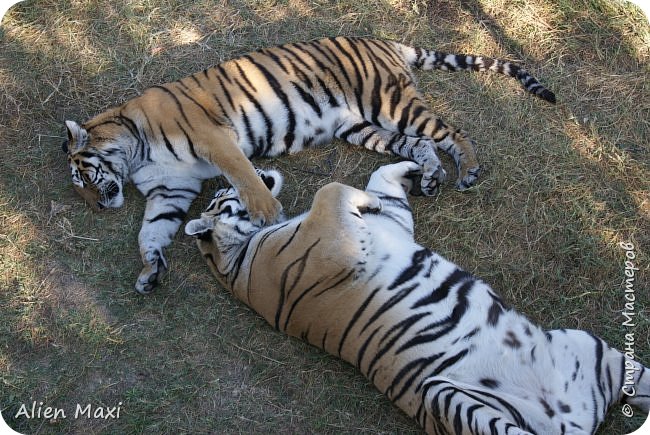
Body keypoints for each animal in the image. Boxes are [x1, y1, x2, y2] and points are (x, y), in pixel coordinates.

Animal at [63, 36, 556, 292]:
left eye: (82, 176)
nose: (96, 207)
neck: (134, 153)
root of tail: (382, 40)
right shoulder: (172, 189)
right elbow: (151, 231)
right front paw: (150, 270)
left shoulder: (214, 138)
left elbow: (243, 175)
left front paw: (266, 213)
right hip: (360, 127)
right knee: (419, 146)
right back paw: (432, 179)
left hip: (389, 103)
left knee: (450, 133)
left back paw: (467, 170)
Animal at [184, 162, 648, 434]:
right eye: (222, 194)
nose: (257, 168)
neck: (237, 255)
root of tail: (576, 420)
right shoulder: (335, 240)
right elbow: (332, 188)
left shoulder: (391, 219)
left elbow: (379, 179)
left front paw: (417, 168)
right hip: (448, 398)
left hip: (596, 352)